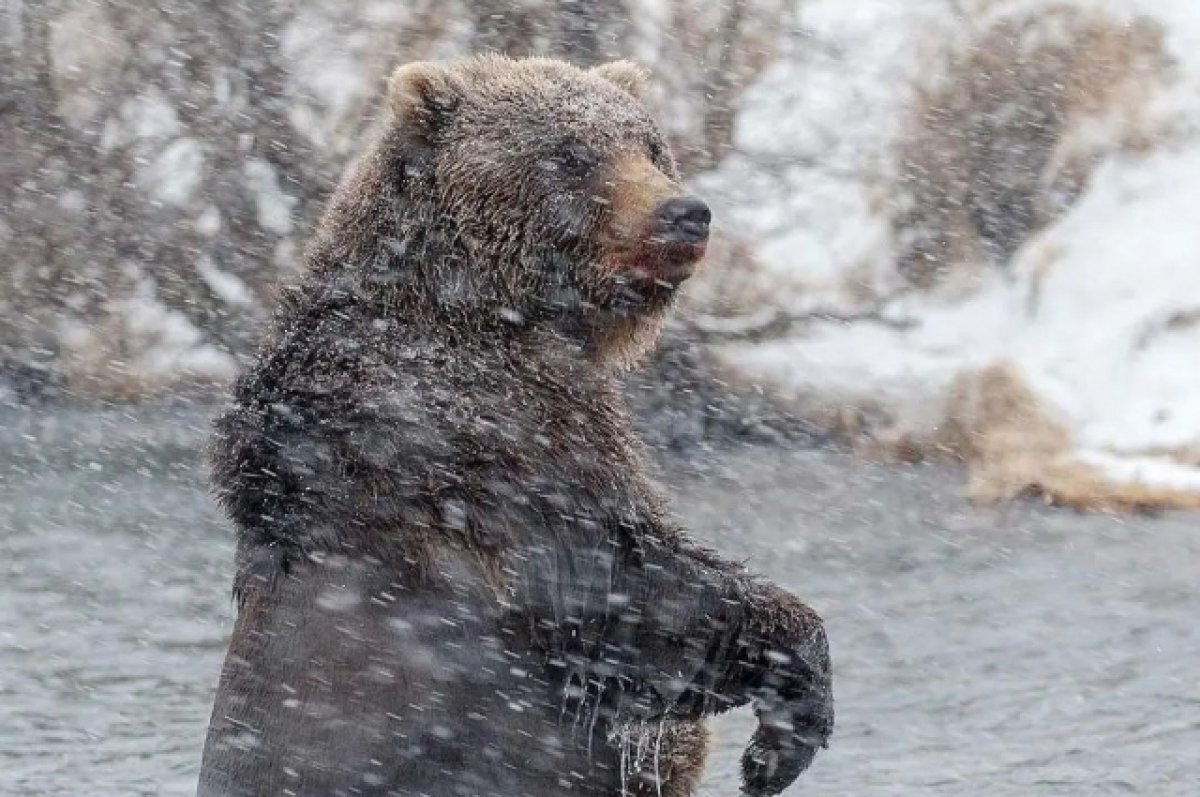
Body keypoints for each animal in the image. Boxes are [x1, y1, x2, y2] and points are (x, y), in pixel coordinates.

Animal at [199, 56, 835, 797]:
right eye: (572, 154)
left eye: (651, 147)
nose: (685, 213)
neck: (482, 311)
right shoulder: (464, 442)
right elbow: (609, 580)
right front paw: (784, 724)